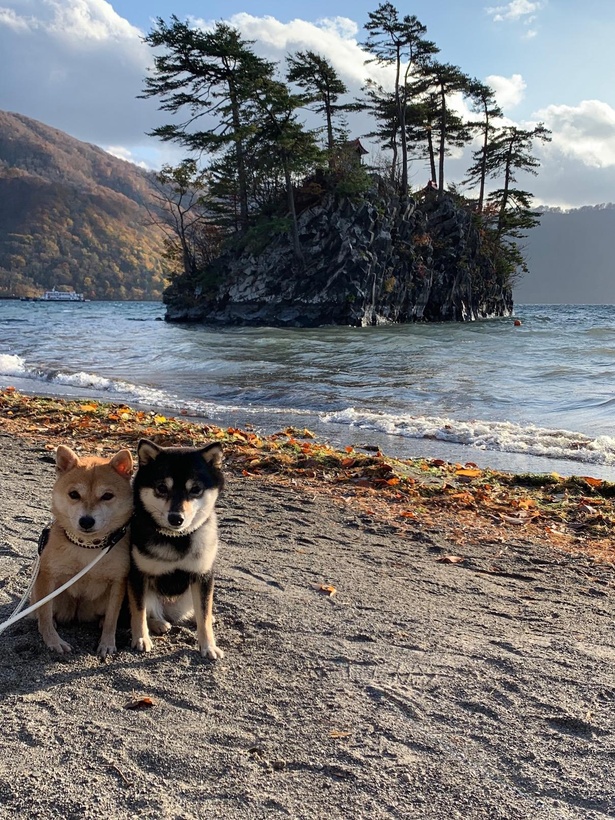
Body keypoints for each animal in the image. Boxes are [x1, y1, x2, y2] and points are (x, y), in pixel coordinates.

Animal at [30, 446, 134, 656]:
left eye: (107, 496)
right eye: (74, 494)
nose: (86, 521)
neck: (87, 546)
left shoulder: (118, 581)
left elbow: (112, 618)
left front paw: (107, 643)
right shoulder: (47, 576)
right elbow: (45, 613)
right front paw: (52, 640)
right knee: (43, 612)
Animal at [129, 436, 225, 660]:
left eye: (196, 489)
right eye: (162, 488)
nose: (176, 518)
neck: (177, 539)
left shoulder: (203, 576)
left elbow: (204, 613)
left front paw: (208, 645)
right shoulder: (137, 575)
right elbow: (138, 610)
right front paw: (141, 638)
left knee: (201, 610)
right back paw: (157, 623)